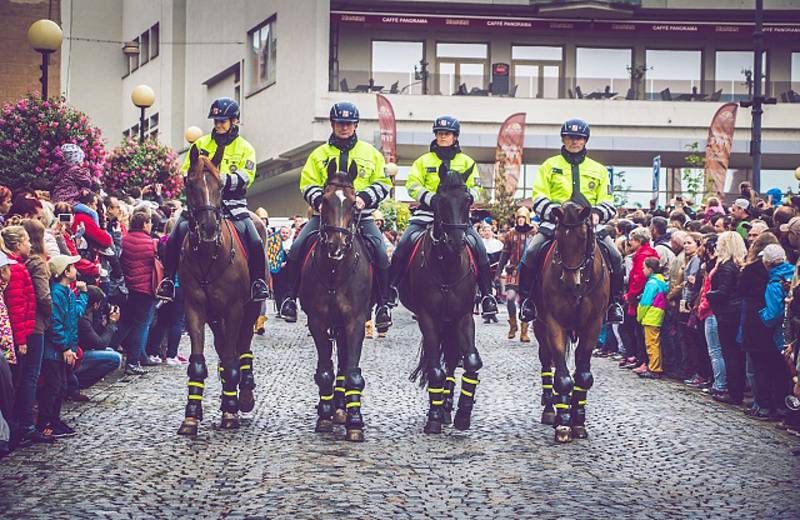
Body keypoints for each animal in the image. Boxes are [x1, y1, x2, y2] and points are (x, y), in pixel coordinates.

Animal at [177, 143, 268, 434]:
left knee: (242, 349)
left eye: (220, 185)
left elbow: (231, 360)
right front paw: (191, 415)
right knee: (223, 347)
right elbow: (198, 361)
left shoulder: (235, 309)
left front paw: (231, 410)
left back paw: (244, 397)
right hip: (215, 318)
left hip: (251, 309)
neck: (210, 254)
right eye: (190, 183)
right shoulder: (194, 308)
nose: (207, 228)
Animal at [302, 160, 374, 440]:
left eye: (354, 203)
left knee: (344, 364)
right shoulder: (317, 322)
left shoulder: (355, 322)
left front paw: (354, 421)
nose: (337, 245)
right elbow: (325, 372)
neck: (335, 273)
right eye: (323, 200)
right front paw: (324, 415)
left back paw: (343, 409)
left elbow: (351, 371)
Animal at [398, 165, 482, 432]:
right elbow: (435, 369)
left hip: (451, 322)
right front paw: (433, 418)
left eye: (468, 200)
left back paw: (447, 407)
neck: (447, 264)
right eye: (440, 201)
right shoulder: (428, 318)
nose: (456, 242)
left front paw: (463, 413)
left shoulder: (463, 316)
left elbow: (471, 361)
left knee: (452, 360)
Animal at [536, 199, 608, 442]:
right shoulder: (554, 323)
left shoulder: (593, 325)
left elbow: (583, 376)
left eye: (583, 237)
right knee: (546, 361)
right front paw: (563, 423)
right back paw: (551, 410)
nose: (570, 282)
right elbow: (563, 377)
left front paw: (578, 421)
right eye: (558, 235)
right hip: (539, 326)